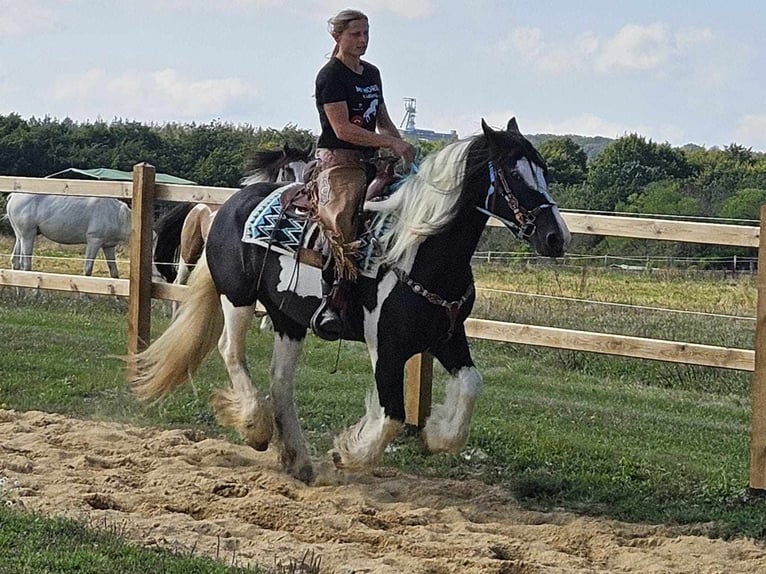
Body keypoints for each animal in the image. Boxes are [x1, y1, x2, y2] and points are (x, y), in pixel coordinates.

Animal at [127, 118, 568, 486]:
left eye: (543, 171)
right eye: (514, 173)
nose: (556, 237)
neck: (417, 251)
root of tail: (229, 205)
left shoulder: (447, 335)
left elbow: (471, 385)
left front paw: (436, 435)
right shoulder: (386, 347)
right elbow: (391, 414)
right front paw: (348, 455)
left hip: (289, 317)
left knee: (281, 380)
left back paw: (298, 460)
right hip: (237, 297)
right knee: (231, 351)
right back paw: (256, 427)